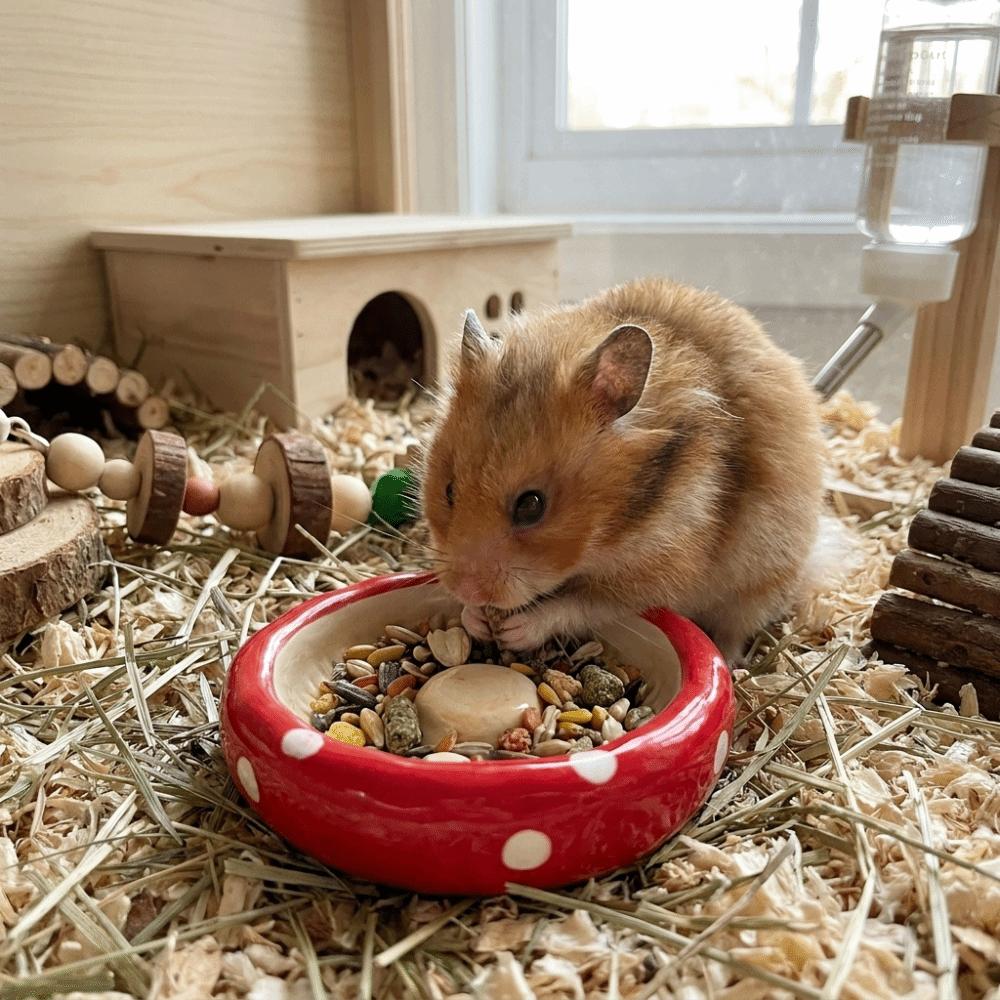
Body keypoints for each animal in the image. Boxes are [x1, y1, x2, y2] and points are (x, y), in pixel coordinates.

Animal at [420, 278, 825, 662]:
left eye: (531, 505)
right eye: (449, 491)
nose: (465, 588)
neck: (619, 525)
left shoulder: (658, 574)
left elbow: (580, 606)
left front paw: (515, 630)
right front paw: (475, 617)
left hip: (761, 584)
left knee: (736, 630)